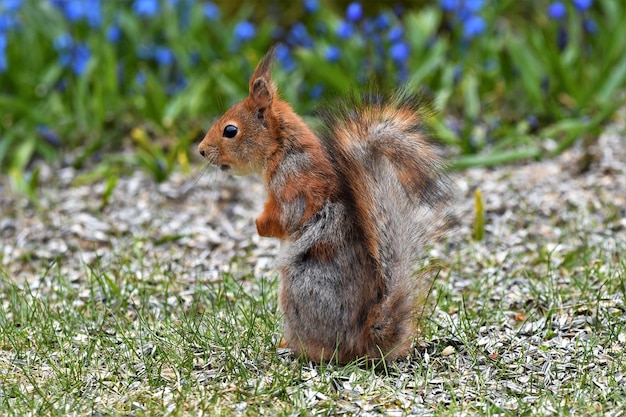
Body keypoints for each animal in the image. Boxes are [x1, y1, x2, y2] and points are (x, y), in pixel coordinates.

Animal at [197, 46, 456, 364]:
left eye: (230, 130)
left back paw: (294, 347)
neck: (284, 149)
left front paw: (259, 225)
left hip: (299, 291)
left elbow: (284, 218)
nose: (201, 150)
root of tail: (365, 340)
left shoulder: (292, 184)